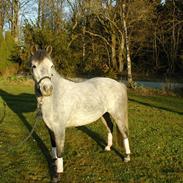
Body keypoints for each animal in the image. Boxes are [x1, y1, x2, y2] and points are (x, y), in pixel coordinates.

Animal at [29, 45, 130, 177]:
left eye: (51, 66)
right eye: (34, 66)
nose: (47, 89)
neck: (55, 97)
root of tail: (119, 84)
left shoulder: (59, 129)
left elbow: (60, 151)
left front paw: (59, 173)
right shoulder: (50, 128)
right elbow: (53, 146)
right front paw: (54, 163)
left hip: (118, 114)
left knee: (124, 132)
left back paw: (127, 157)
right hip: (104, 114)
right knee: (109, 126)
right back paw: (108, 147)